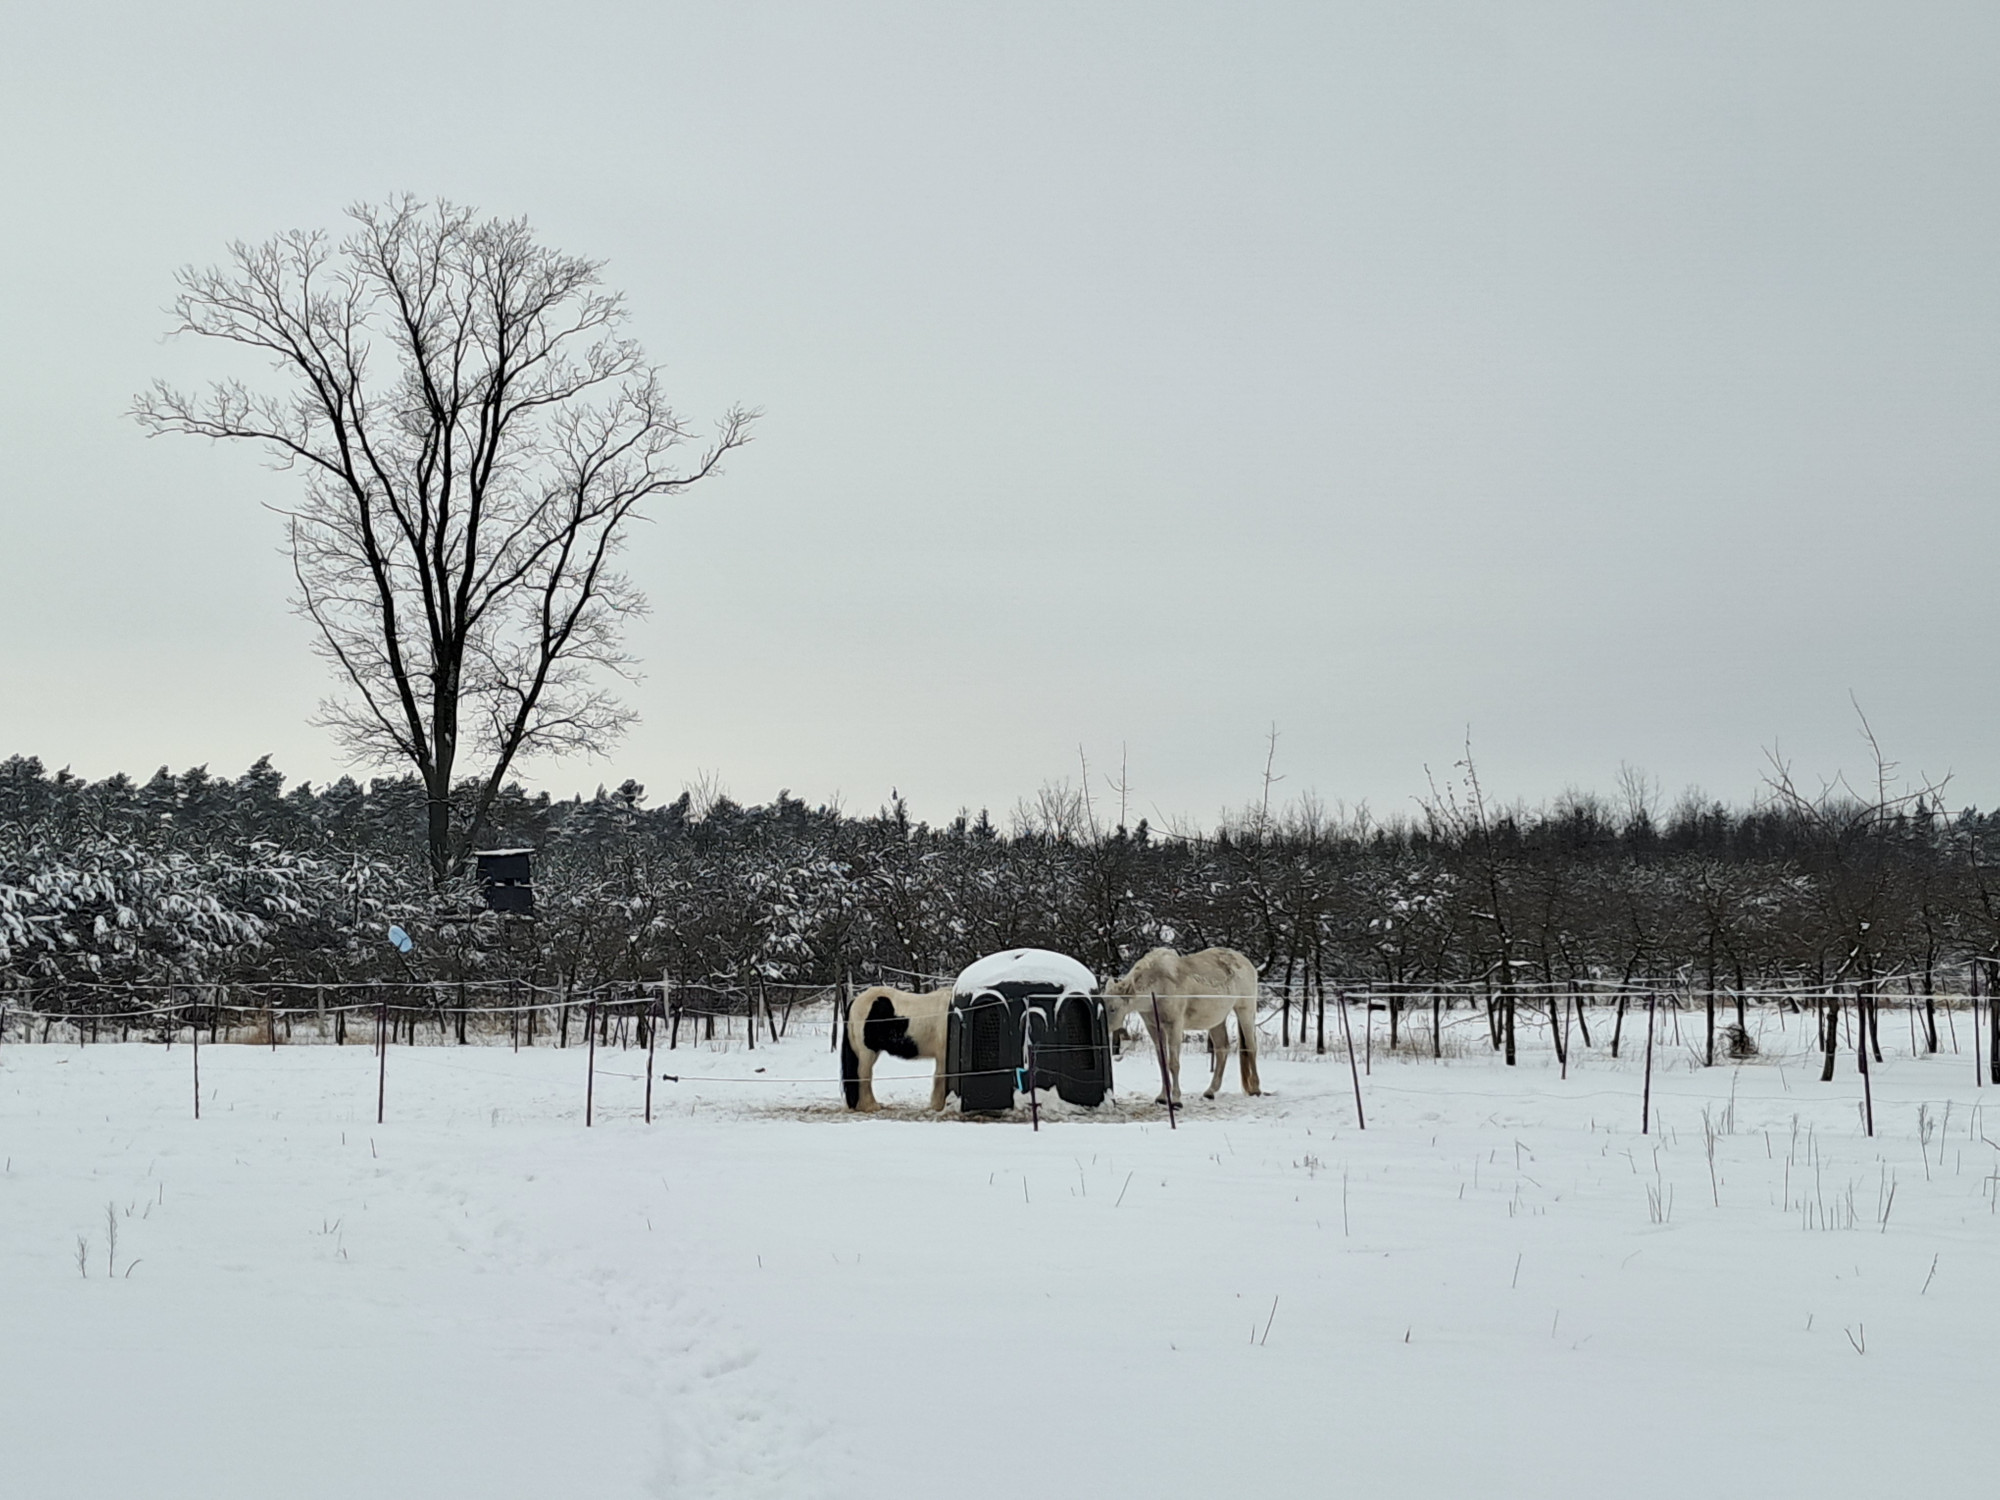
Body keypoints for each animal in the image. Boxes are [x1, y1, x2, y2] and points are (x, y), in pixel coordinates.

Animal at [1103, 946, 1263, 1104]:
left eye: (1113, 1009)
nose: (1105, 1028)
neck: (1159, 987)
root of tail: (1246, 962)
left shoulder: (1174, 1026)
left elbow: (1173, 1063)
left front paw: (1176, 1099)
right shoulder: (1154, 1028)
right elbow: (1162, 1062)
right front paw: (1162, 1097)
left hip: (1245, 1011)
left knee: (1251, 1046)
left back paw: (1255, 1089)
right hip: (1216, 1021)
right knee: (1222, 1049)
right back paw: (1210, 1091)